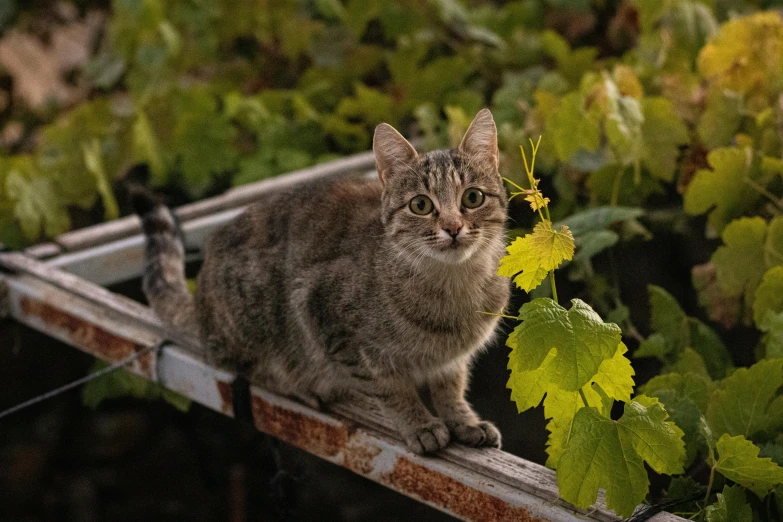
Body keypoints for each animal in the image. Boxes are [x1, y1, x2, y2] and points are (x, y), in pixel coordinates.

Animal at [138, 106, 512, 450]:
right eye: (420, 205)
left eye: (473, 197)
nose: (452, 227)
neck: (453, 287)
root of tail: (201, 299)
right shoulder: (325, 315)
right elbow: (390, 389)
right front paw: (419, 424)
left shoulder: (453, 360)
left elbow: (451, 387)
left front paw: (463, 420)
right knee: (237, 362)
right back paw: (298, 387)